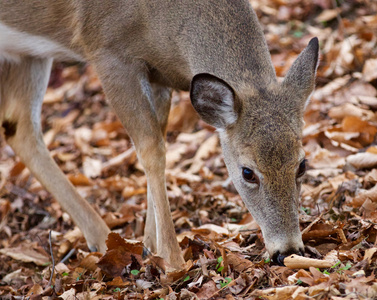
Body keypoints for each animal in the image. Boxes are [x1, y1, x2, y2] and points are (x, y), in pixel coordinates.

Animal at [0, 0, 318, 268]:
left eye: (302, 164)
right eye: (247, 172)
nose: (287, 251)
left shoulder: (158, 75)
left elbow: (158, 143)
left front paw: (149, 247)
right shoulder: (107, 50)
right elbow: (151, 149)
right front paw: (172, 259)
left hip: (28, 54)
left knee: (18, 125)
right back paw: (104, 240)